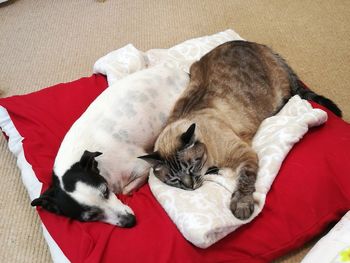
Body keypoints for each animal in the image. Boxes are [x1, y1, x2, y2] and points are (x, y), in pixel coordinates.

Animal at [30, 65, 189, 228]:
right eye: (91, 217)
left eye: (105, 191)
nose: (130, 221)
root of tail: (183, 73)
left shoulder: (141, 165)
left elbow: (127, 189)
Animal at [139, 39, 342, 221]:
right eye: (174, 180)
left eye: (191, 167)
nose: (190, 187)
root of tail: (257, 44)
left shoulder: (244, 154)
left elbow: (245, 180)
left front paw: (241, 207)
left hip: (280, 96)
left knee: (292, 94)